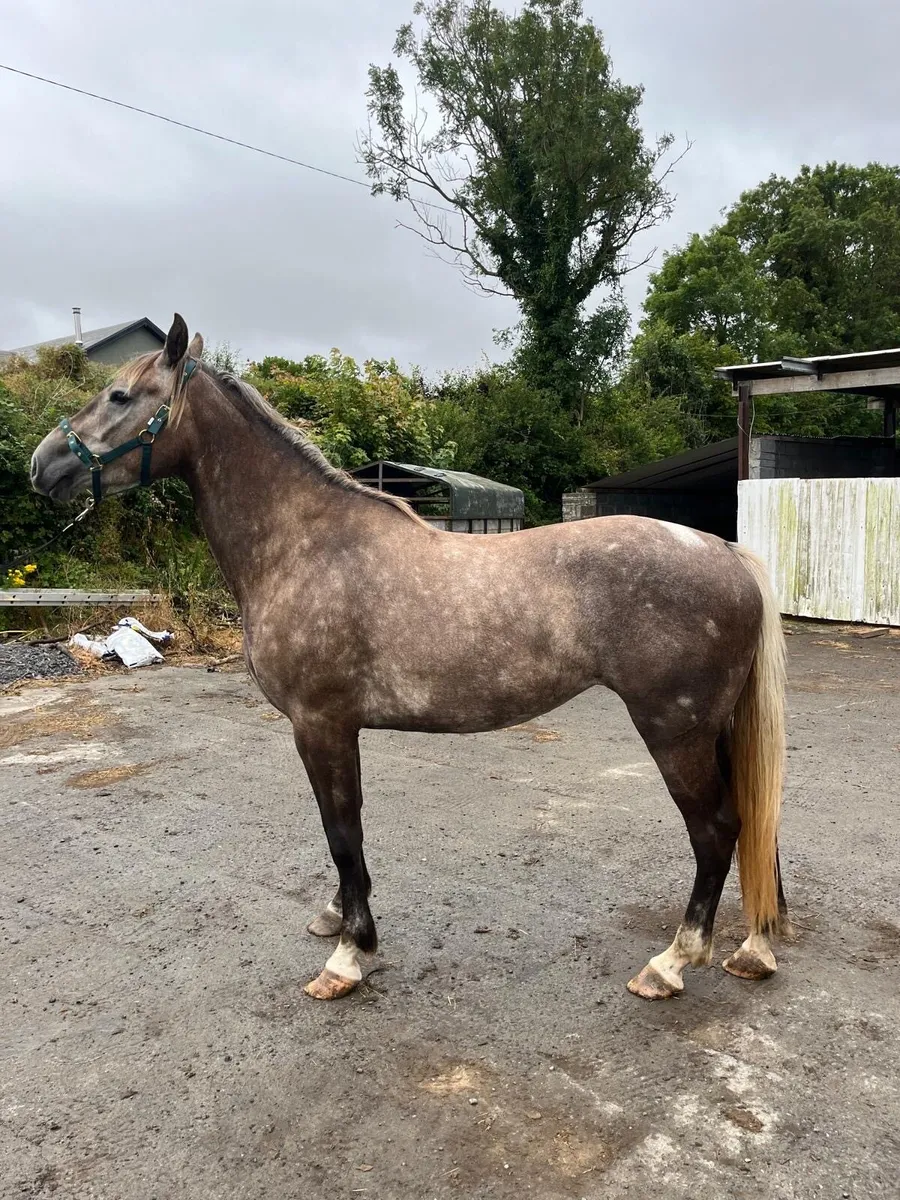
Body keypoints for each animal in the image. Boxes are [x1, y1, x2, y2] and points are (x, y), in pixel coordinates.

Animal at [30, 314, 788, 1003]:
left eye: (120, 395)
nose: (42, 466)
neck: (302, 543)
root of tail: (725, 552)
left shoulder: (320, 725)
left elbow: (343, 831)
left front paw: (348, 955)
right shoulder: (333, 729)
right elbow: (344, 831)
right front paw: (338, 918)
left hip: (674, 732)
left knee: (716, 832)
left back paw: (672, 962)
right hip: (713, 730)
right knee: (752, 824)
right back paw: (753, 948)